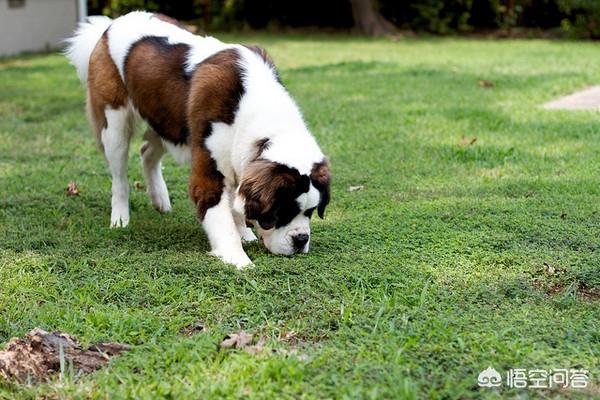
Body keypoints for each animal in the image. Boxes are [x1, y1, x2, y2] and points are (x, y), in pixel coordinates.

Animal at [65, 11, 332, 268]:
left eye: (310, 212)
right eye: (282, 212)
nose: (301, 239)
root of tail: (108, 26)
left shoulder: (235, 158)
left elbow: (236, 202)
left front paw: (244, 232)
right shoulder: (209, 169)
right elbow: (219, 213)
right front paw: (238, 257)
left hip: (167, 120)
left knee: (147, 151)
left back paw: (160, 198)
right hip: (115, 123)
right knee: (119, 176)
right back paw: (120, 218)